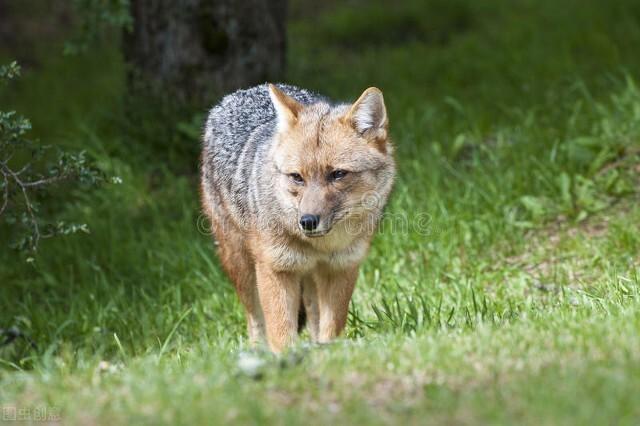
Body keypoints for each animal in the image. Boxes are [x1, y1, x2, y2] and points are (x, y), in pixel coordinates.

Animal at [200, 83, 396, 352]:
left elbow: (330, 329)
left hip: (310, 277)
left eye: (338, 174)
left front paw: (331, 355)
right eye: (297, 177)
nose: (308, 221)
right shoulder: (275, 269)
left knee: (313, 318)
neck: (321, 246)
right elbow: (281, 334)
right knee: (255, 321)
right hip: (241, 265)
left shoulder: (342, 267)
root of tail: (238, 94)